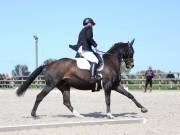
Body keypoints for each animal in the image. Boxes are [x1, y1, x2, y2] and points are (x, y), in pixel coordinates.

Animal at [16, 38, 148, 118]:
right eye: (131, 51)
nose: (131, 65)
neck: (111, 62)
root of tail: (49, 64)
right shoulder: (108, 85)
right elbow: (108, 100)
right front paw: (109, 115)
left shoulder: (115, 85)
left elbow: (130, 95)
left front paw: (143, 109)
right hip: (51, 84)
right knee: (40, 97)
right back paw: (33, 114)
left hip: (64, 86)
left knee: (66, 102)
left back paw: (79, 115)